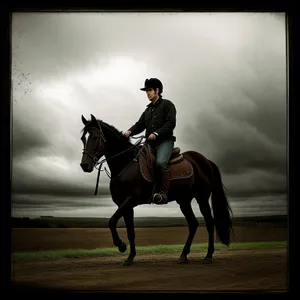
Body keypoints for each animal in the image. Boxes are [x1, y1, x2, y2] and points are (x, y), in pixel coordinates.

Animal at [79, 113, 232, 266]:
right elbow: (130, 231)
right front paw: (130, 257)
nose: (84, 165)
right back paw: (183, 255)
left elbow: (111, 221)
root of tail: (206, 161)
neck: (126, 163)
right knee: (193, 224)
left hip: (202, 198)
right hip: (184, 201)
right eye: (83, 139)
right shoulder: (125, 204)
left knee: (209, 223)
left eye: (95, 137)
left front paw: (121, 246)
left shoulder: (131, 200)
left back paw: (208, 256)